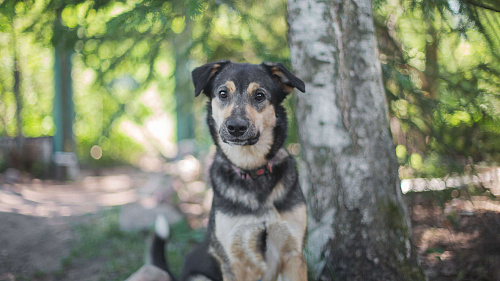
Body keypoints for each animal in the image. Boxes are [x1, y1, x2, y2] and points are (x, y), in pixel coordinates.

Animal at [151, 60, 308, 278]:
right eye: (223, 93)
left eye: (260, 95)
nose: (236, 127)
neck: (252, 170)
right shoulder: (234, 261)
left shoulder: (294, 255)